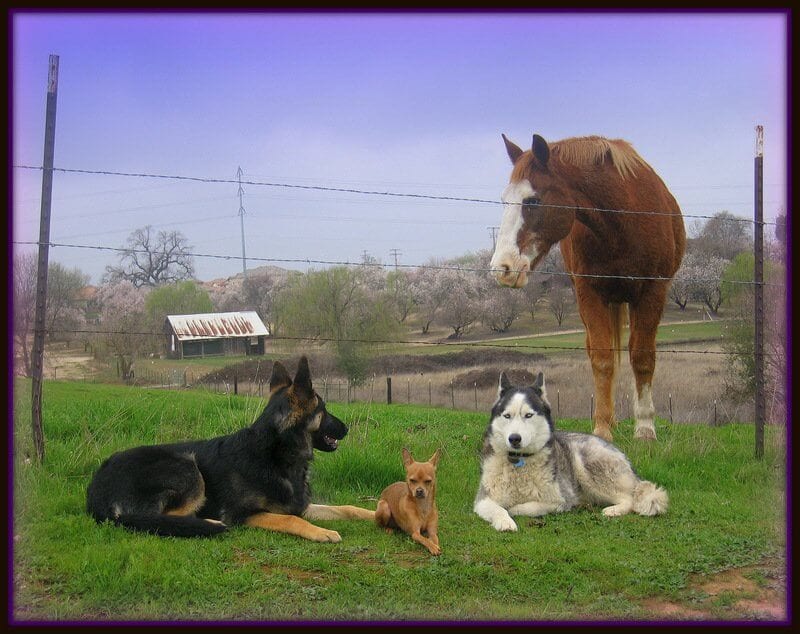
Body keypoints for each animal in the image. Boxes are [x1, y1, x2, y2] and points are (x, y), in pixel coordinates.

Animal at [87, 356, 376, 540]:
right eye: (324, 410)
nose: (346, 428)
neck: (275, 456)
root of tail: (96, 491)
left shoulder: (302, 505)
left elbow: (347, 508)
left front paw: (375, 514)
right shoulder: (245, 514)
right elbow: (291, 519)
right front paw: (322, 532)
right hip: (187, 468)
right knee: (164, 518)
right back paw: (207, 523)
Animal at [490, 133, 684, 440]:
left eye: (532, 200)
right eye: (505, 200)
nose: (502, 268)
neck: (622, 222)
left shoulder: (652, 293)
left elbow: (642, 358)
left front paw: (644, 428)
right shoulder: (589, 295)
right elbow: (602, 359)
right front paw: (603, 427)